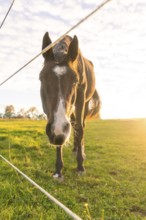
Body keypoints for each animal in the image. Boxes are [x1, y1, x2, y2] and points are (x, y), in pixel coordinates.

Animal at [39, 31, 100, 178]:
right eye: (41, 78)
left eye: (75, 80)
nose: (58, 131)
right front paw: (58, 170)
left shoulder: (80, 97)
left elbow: (79, 128)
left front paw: (80, 166)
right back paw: (75, 149)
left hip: (85, 103)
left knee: (81, 125)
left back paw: (81, 152)